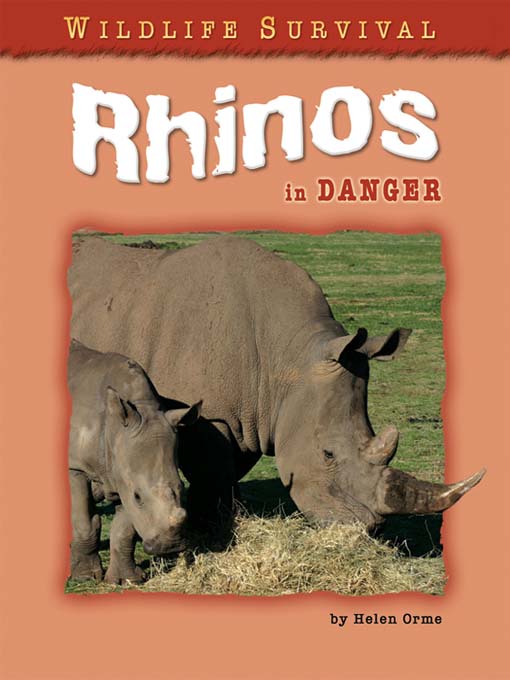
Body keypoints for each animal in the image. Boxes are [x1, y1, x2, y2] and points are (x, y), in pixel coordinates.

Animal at [68, 340, 201, 584]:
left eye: (182, 489)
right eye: (138, 496)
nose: (170, 546)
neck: (114, 429)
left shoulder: (123, 471)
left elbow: (125, 530)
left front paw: (126, 580)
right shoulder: (77, 467)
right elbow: (84, 520)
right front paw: (85, 577)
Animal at [69, 236, 484, 530]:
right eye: (327, 454)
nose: (367, 527)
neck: (286, 361)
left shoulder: (251, 413)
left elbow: (227, 474)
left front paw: (224, 520)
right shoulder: (206, 415)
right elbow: (213, 474)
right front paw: (210, 531)